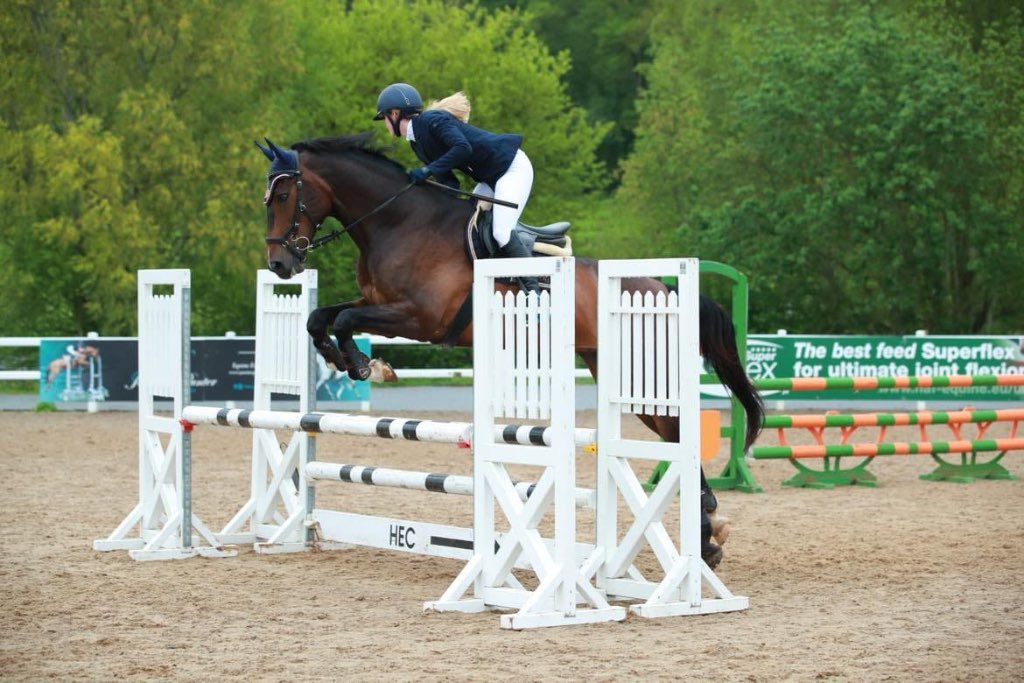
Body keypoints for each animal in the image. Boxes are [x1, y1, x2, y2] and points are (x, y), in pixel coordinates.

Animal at [254, 132, 761, 565]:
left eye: (283, 196)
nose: (279, 264)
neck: (398, 222)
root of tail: (662, 287)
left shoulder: (418, 319)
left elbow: (343, 321)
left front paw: (365, 365)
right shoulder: (376, 303)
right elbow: (321, 318)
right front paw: (342, 359)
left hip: (644, 372)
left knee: (677, 432)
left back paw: (706, 535)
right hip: (616, 369)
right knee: (671, 433)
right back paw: (708, 534)